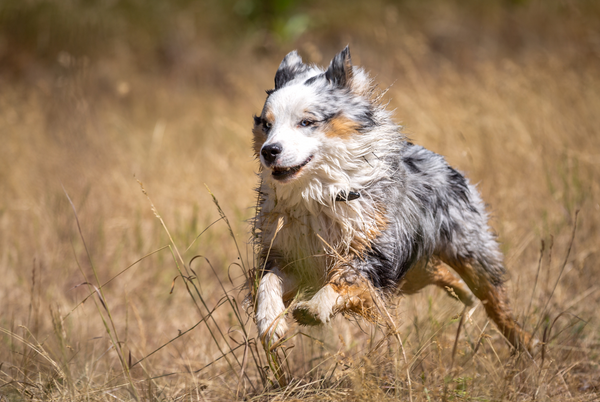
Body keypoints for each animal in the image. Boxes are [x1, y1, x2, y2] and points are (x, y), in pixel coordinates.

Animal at [251, 45, 532, 350]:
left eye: (306, 122)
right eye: (267, 125)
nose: (269, 151)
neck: (317, 196)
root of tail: (442, 161)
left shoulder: (376, 253)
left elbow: (346, 278)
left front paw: (315, 307)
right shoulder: (289, 254)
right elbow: (267, 282)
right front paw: (270, 323)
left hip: (469, 252)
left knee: (495, 301)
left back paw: (526, 344)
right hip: (413, 270)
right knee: (441, 274)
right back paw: (463, 295)